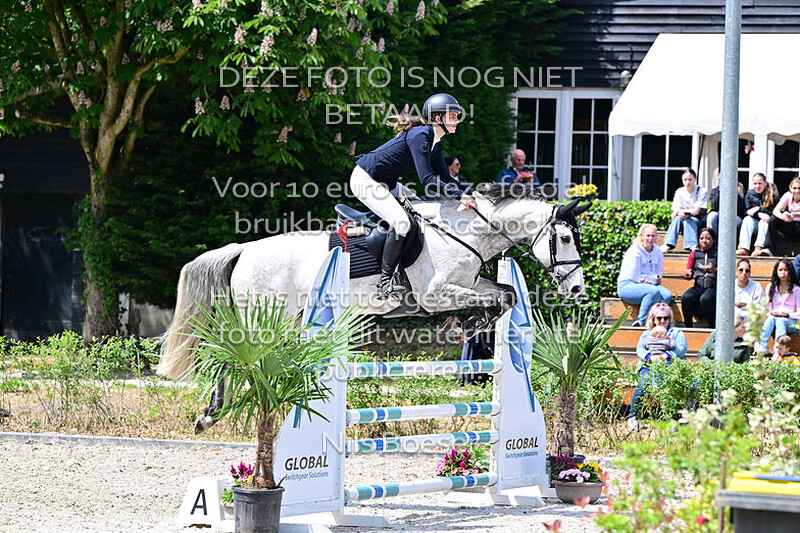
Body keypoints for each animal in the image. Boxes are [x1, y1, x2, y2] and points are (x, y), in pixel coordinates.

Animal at [157, 182, 590, 384]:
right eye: (565, 238)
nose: (576, 290)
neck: (466, 230)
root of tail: (243, 249)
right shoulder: (435, 296)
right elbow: (490, 300)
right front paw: (468, 324)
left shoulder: (471, 283)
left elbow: (506, 294)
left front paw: (474, 324)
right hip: (263, 317)